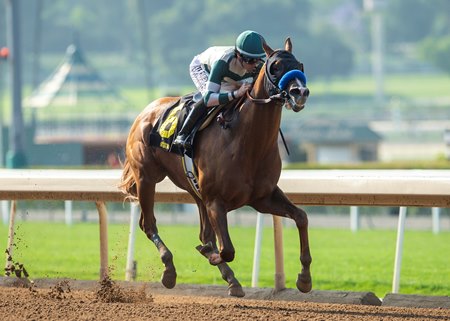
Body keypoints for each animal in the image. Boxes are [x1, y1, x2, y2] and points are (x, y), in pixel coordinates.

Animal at [118, 38, 310, 298]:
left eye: (299, 64)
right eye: (275, 66)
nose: (300, 92)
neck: (247, 142)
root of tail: (145, 112)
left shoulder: (263, 197)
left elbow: (301, 217)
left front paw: (304, 278)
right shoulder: (216, 201)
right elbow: (226, 249)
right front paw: (210, 255)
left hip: (194, 189)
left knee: (203, 233)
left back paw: (231, 279)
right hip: (147, 178)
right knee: (148, 224)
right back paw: (169, 270)